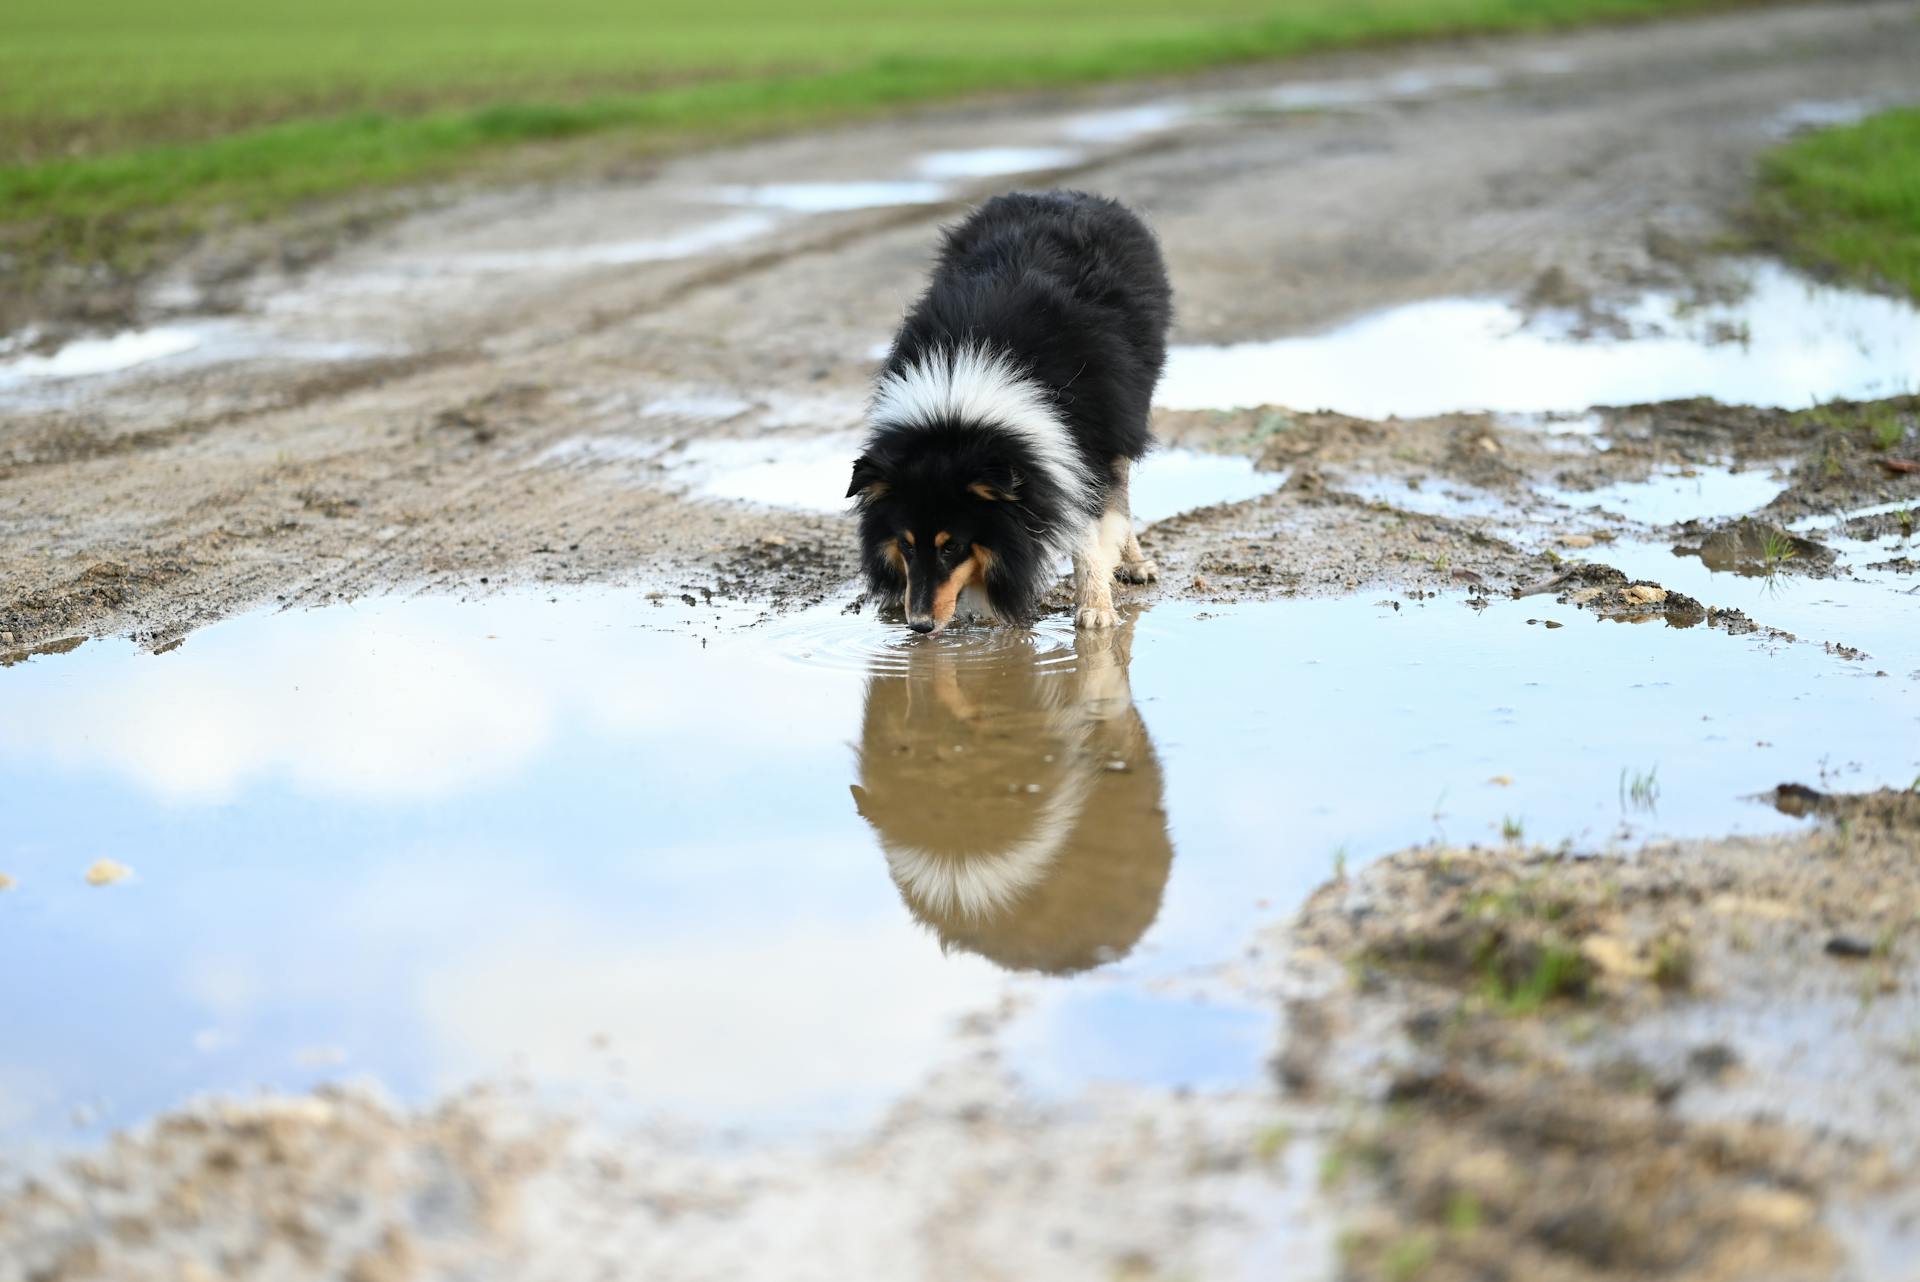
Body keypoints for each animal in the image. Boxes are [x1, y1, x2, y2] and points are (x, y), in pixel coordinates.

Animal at [852, 189, 1175, 629]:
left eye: (952, 547)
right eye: (907, 544)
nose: (920, 625)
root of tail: (1066, 193)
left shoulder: (1085, 443)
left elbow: (1090, 528)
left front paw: (1095, 611)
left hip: (1129, 410)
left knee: (1121, 491)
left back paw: (1135, 565)